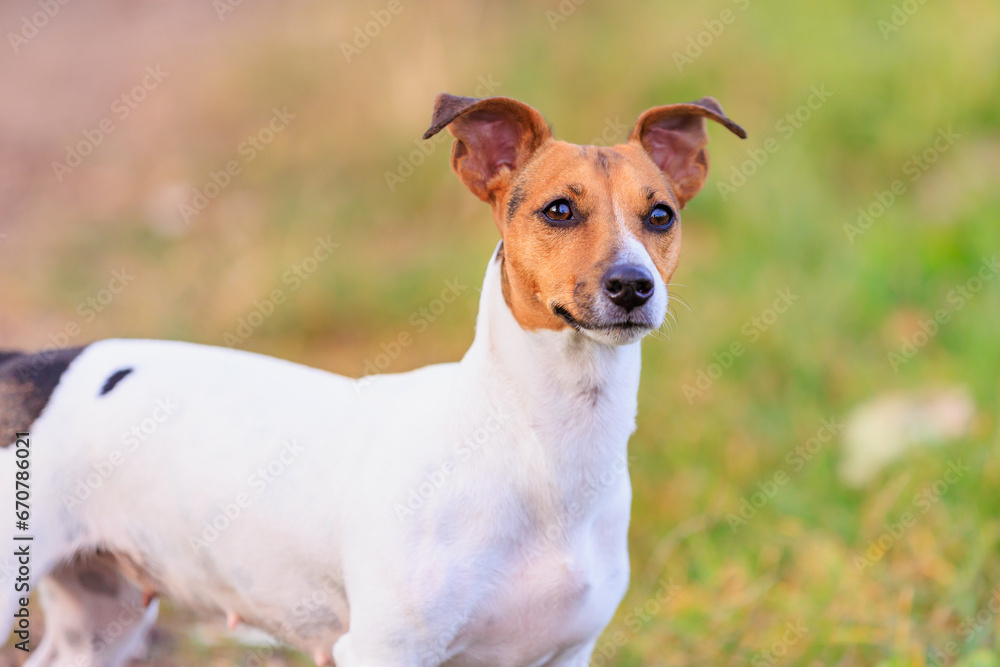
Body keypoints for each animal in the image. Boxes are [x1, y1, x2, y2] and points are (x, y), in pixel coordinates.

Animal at [0, 91, 744, 664]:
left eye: (660, 216)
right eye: (559, 209)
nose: (633, 285)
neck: (538, 448)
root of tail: (26, 363)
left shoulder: (564, 651)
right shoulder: (384, 646)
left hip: (103, 618)